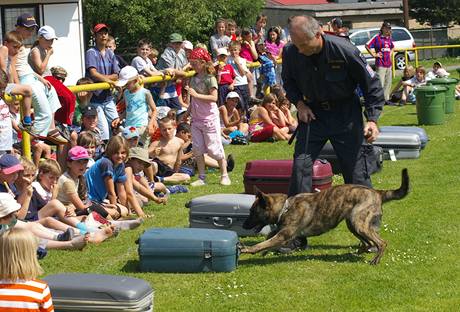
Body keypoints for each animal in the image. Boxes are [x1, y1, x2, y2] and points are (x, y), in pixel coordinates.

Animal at [241, 169, 410, 264]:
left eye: (253, 212)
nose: (243, 225)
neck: (285, 207)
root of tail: (378, 192)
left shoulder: (284, 235)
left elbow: (263, 243)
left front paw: (248, 249)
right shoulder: (282, 231)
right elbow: (268, 237)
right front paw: (266, 250)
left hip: (358, 223)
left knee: (381, 243)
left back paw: (375, 259)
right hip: (353, 224)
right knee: (367, 243)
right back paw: (358, 252)